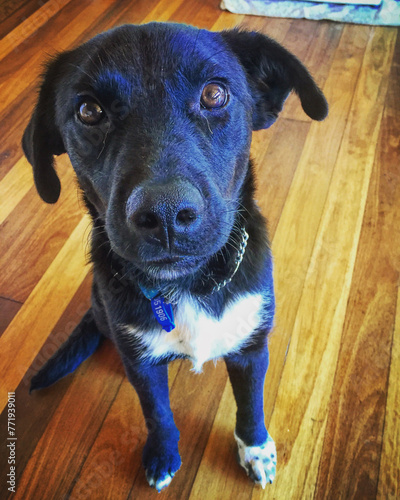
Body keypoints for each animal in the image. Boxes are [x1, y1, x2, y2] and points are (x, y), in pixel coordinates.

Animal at [22, 22, 328, 492]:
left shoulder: (251, 348)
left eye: (214, 94)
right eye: (89, 110)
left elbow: (250, 405)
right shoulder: (143, 365)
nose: (165, 215)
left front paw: (255, 448)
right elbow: (158, 412)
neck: (188, 286)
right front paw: (163, 453)